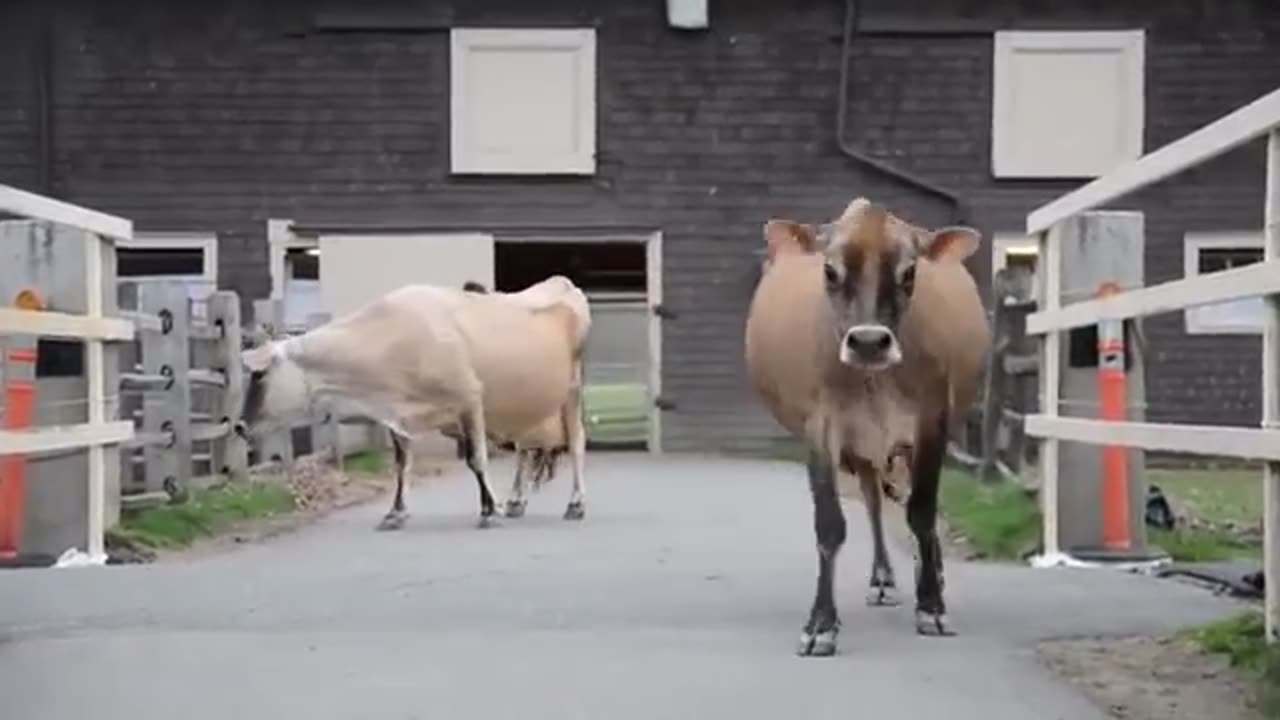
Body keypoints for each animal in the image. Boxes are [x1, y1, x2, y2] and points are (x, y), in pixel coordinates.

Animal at [234, 275, 591, 529]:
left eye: (259, 375)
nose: (238, 426)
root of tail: (561, 282)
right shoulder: (398, 414)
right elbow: (402, 465)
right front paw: (395, 512)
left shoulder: (469, 396)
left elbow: (476, 459)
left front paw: (489, 510)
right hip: (528, 404)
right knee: (525, 448)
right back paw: (517, 500)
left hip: (571, 389)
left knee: (576, 442)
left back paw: (576, 503)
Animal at [743, 197, 990, 656]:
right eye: (829, 270)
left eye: (910, 272)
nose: (870, 342)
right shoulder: (821, 429)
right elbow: (830, 525)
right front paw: (821, 624)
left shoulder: (931, 424)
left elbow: (922, 514)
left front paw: (931, 606)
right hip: (860, 450)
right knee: (873, 501)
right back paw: (882, 578)